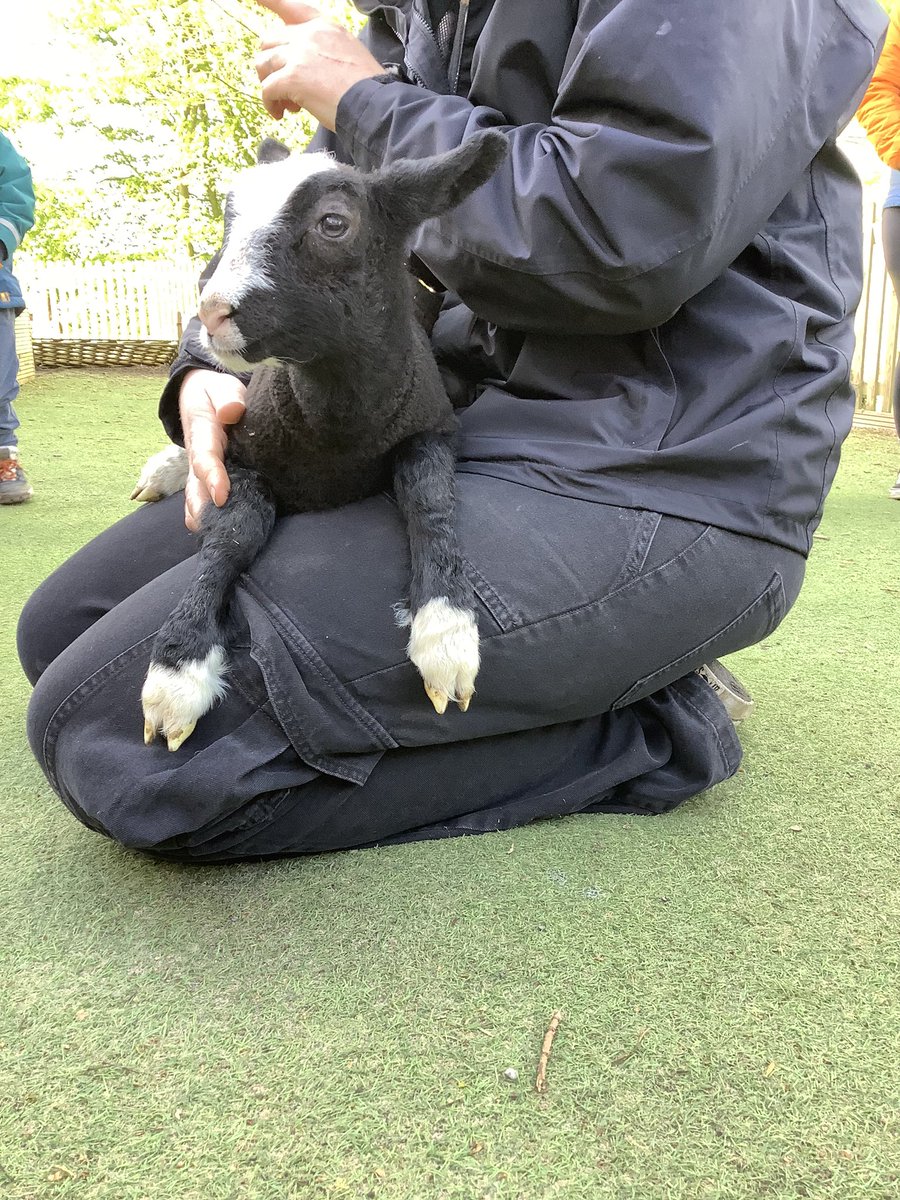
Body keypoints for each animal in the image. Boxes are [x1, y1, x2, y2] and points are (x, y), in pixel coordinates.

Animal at [138, 131, 508, 751]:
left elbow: (429, 496)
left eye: (334, 223)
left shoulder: (431, 428)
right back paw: (165, 469)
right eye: (229, 216)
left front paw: (447, 633)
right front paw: (177, 670)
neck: (337, 430)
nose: (211, 312)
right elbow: (233, 535)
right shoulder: (238, 459)